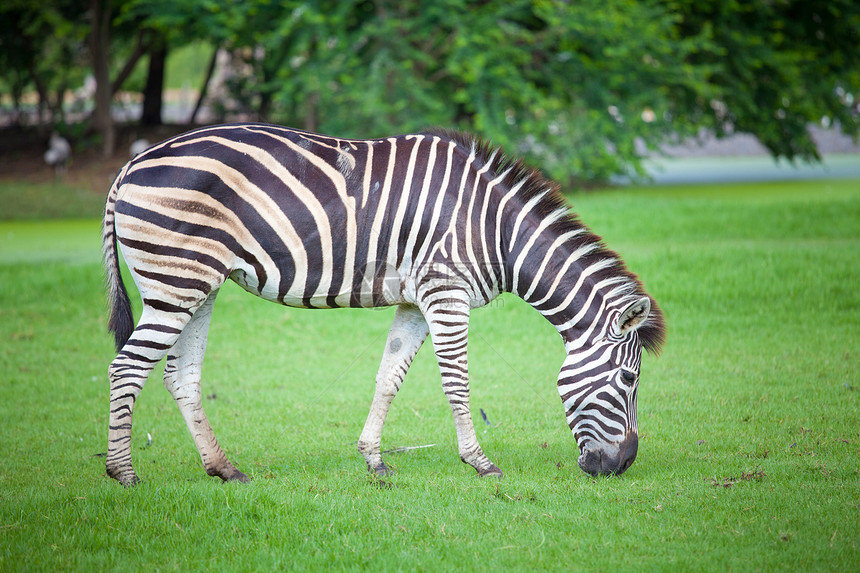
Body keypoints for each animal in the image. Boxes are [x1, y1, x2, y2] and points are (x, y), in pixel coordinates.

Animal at [101, 123, 664, 484]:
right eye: (630, 379)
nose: (623, 466)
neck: (496, 232)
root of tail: (131, 163)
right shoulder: (445, 293)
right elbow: (456, 383)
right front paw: (480, 463)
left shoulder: (417, 301)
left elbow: (389, 376)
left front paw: (373, 460)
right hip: (175, 281)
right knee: (126, 368)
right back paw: (124, 474)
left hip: (199, 283)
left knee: (181, 375)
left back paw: (223, 469)